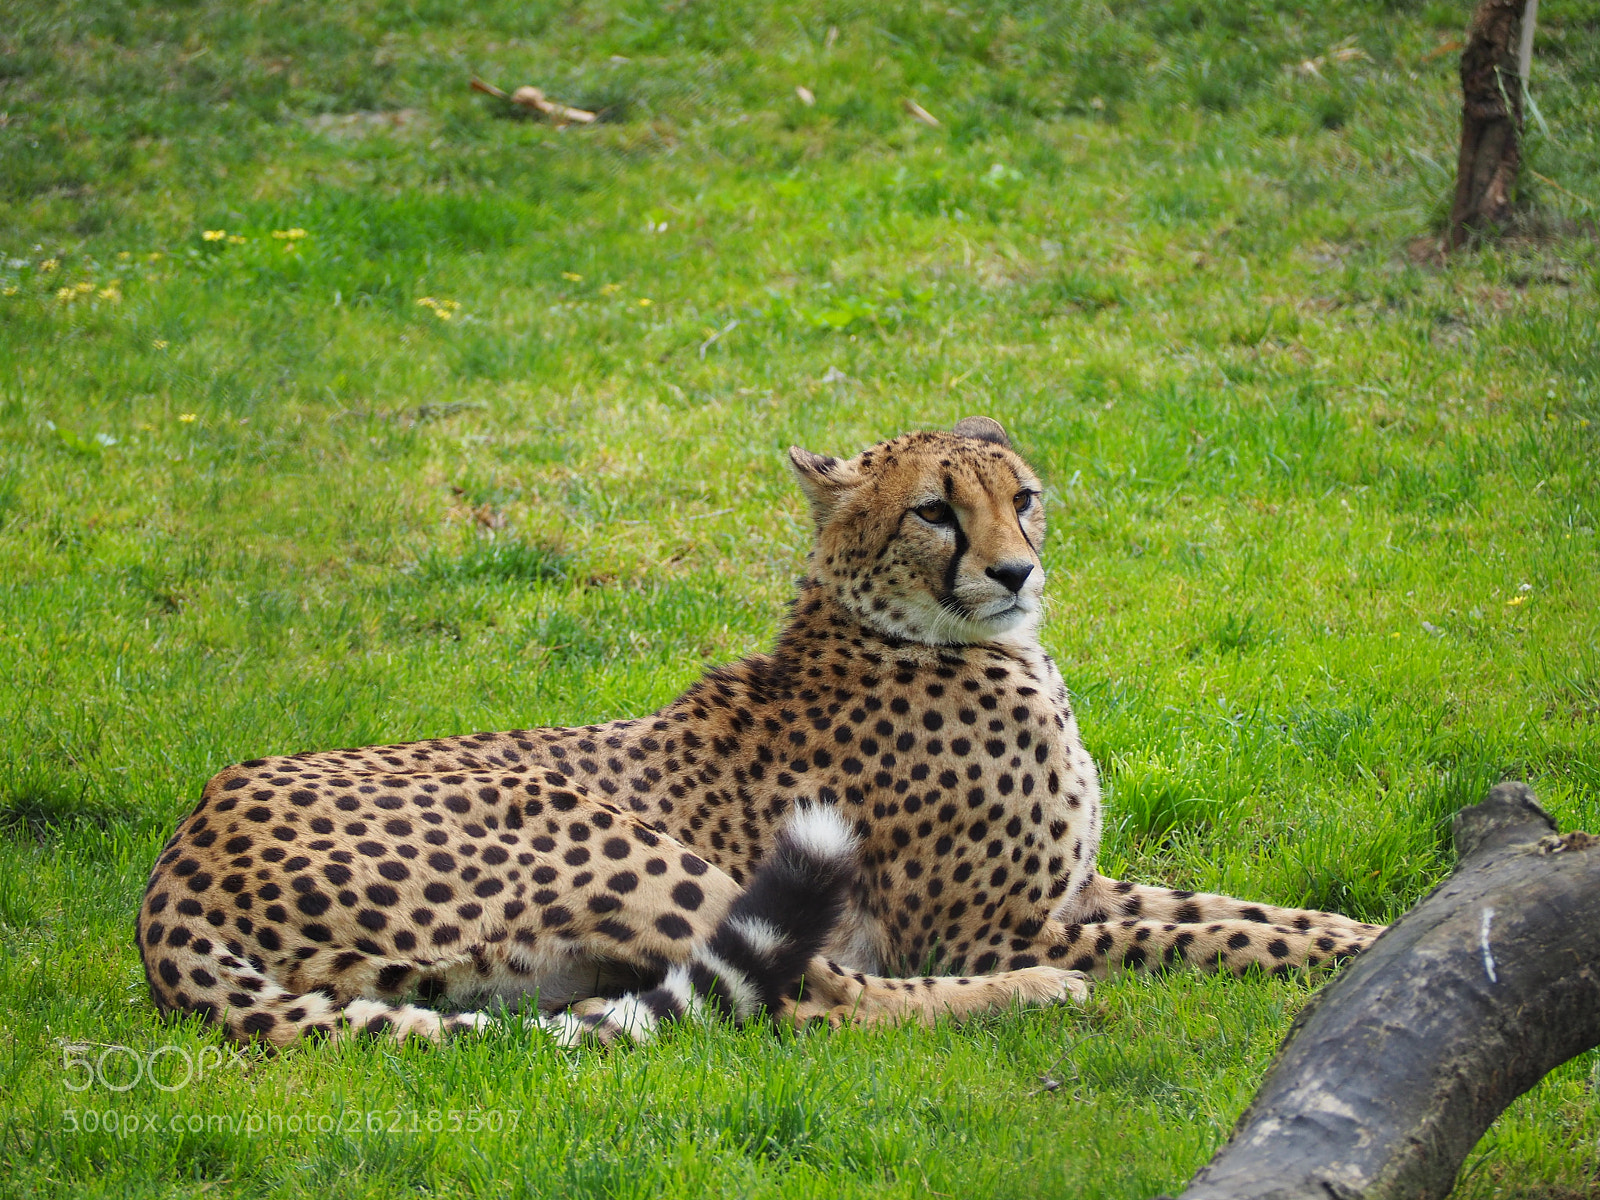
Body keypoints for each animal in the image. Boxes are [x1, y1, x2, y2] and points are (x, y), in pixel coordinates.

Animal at [137, 416, 1383, 1049]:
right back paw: (1032, 1001)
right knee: (814, 998)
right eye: (935, 511)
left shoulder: (1077, 889)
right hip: (610, 834)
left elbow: (1243, 913)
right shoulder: (987, 930)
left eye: (1020, 496)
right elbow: (1203, 939)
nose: (1015, 571)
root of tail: (184, 850)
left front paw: (1375, 938)